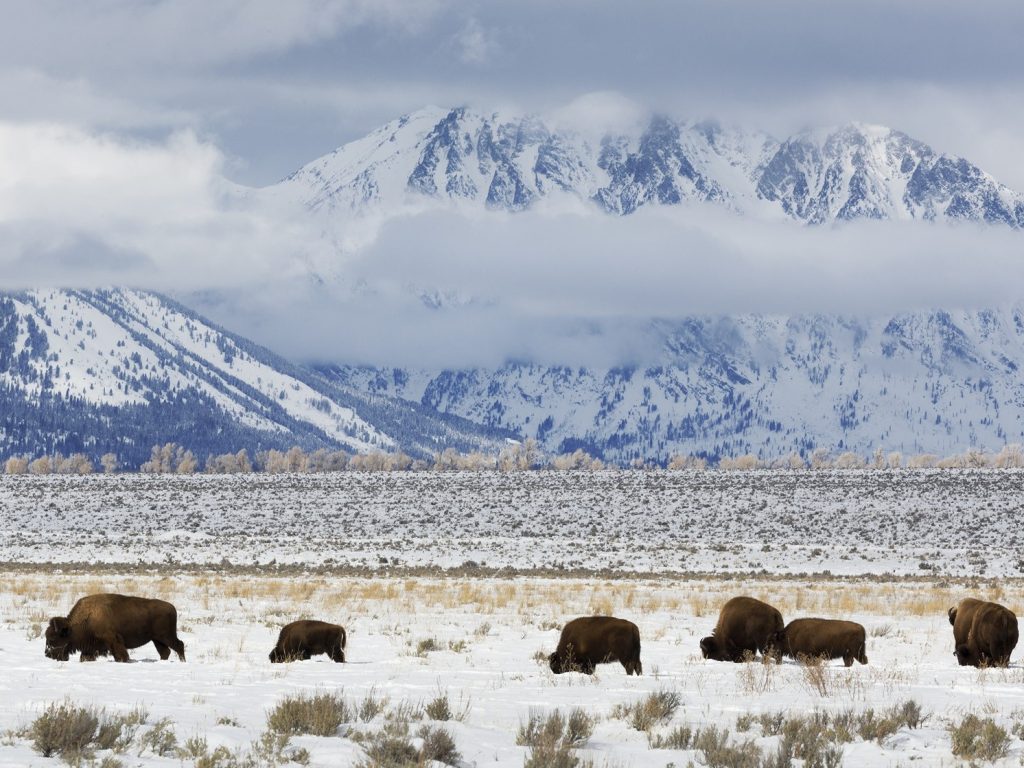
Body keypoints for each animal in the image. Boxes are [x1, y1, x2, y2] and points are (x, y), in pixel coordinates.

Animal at [45, 593, 186, 663]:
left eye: (53, 638)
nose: (47, 654)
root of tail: (171, 607)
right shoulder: (90, 646)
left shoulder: (113, 640)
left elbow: (120, 654)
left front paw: (124, 660)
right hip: (157, 640)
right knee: (165, 652)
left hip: (166, 636)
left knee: (179, 645)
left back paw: (182, 662)